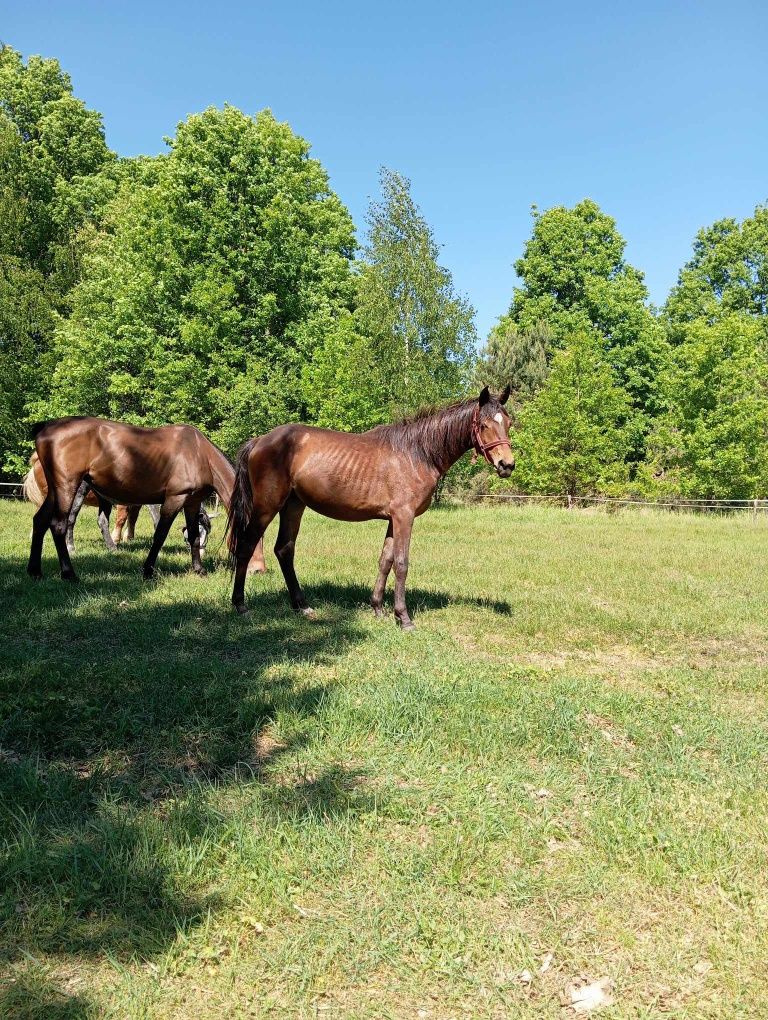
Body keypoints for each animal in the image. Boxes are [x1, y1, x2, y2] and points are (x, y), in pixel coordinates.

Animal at [26, 418, 267, 583]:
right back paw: (69, 573)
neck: (199, 454)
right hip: (67, 488)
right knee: (58, 524)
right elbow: (159, 535)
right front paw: (148, 570)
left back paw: (35, 571)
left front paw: (199, 570)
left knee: (40, 521)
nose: (259, 570)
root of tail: (46, 427)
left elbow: (193, 537)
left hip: (56, 491)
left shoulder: (191, 503)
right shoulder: (174, 499)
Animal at [227, 387, 516, 628]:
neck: (416, 453)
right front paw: (404, 617)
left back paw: (302, 606)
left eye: (508, 423)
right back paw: (240, 605)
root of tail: (260, 440)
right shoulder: (404, 516)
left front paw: (378, 608)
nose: (507, 465)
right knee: (246, 546)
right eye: (484, 425)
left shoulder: (393, 519)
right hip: (266, 506)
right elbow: (401, 563)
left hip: (293, 506)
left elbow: (385, 561)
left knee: (284, 550)